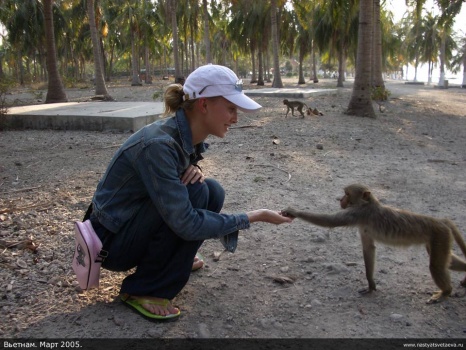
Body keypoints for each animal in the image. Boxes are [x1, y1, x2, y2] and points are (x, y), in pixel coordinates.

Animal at [282, 183, 466, 304]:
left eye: (347, 194)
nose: (340, 199)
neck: (369, 203)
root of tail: (440, 221)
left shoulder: (356, 214)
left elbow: (330, 221)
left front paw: (293, 211)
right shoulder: (362, 224)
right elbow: (368, 248)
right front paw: (370, 284)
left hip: (439, 236)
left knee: (436, 266)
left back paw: (446, 292)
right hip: (440, 238)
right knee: (447, 262)